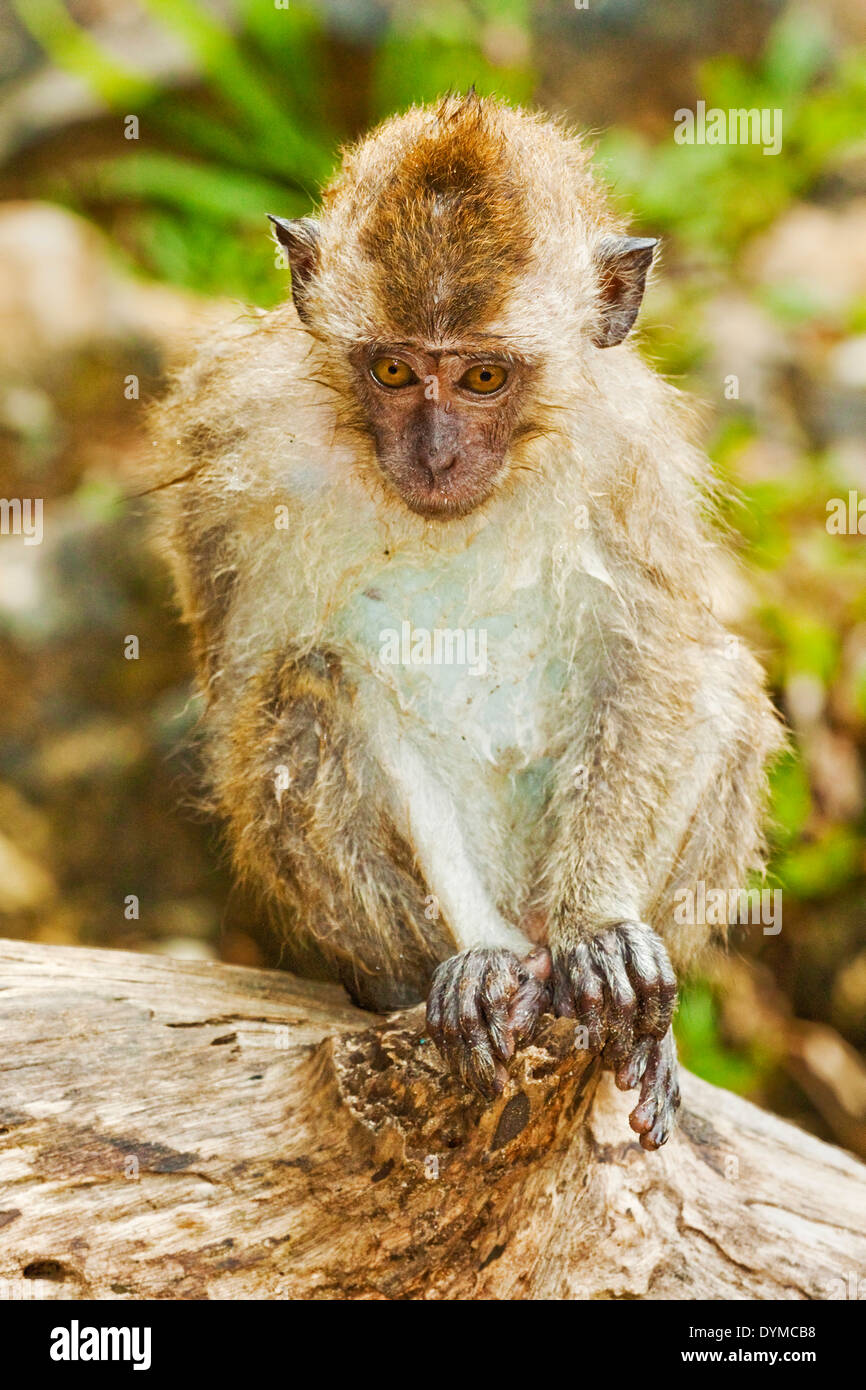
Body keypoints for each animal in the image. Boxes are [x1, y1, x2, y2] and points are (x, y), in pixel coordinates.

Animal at [152, 95, 783, 1150]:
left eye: (485, 378)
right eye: (394, 370)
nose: (438, 455)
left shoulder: (634, 454)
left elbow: (658, 659)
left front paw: (599, 930)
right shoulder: (234, 438)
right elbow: (254, 690)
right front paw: (478, 963)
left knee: (722, 683)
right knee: (300, 689)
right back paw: (460, 977)